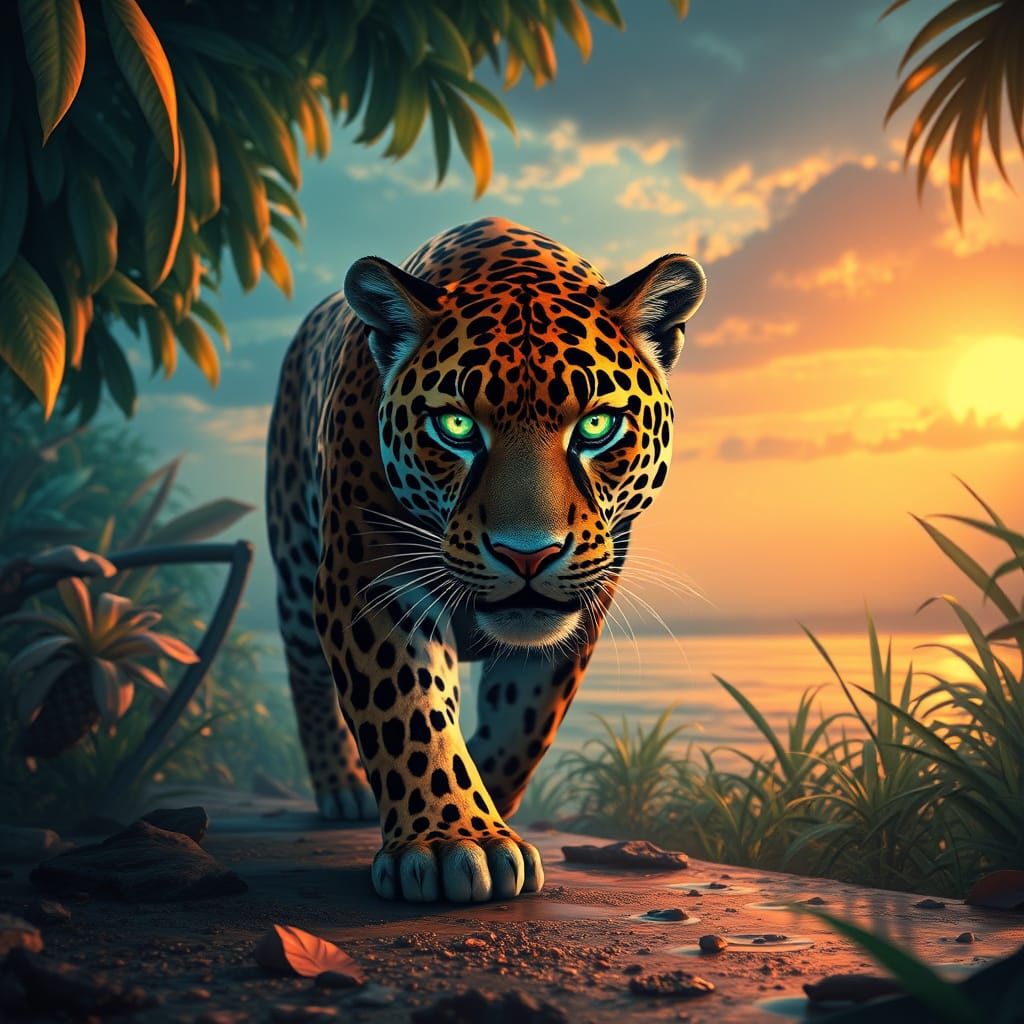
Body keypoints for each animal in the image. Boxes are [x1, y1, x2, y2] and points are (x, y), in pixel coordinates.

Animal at [266, 216, 706, 903]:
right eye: (455, 427)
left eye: (598, 426)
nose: (529, 555)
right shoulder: (371, 574)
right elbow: (407, 709)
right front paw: (451, 842)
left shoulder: (583, 599)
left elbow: (520, 723)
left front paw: (488, 807)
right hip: (292, 557)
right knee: (305, 670)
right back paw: (342, 788)